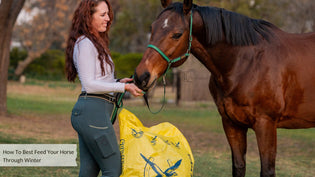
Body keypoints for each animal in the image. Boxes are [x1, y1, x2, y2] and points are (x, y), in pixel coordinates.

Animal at [134, 0, 315, 177]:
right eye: (152, 28)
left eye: (177, 34)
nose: (141, 76)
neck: (247, 62)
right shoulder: (232, 124)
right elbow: (238, 166)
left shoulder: (266, 124)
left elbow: (267, 170)